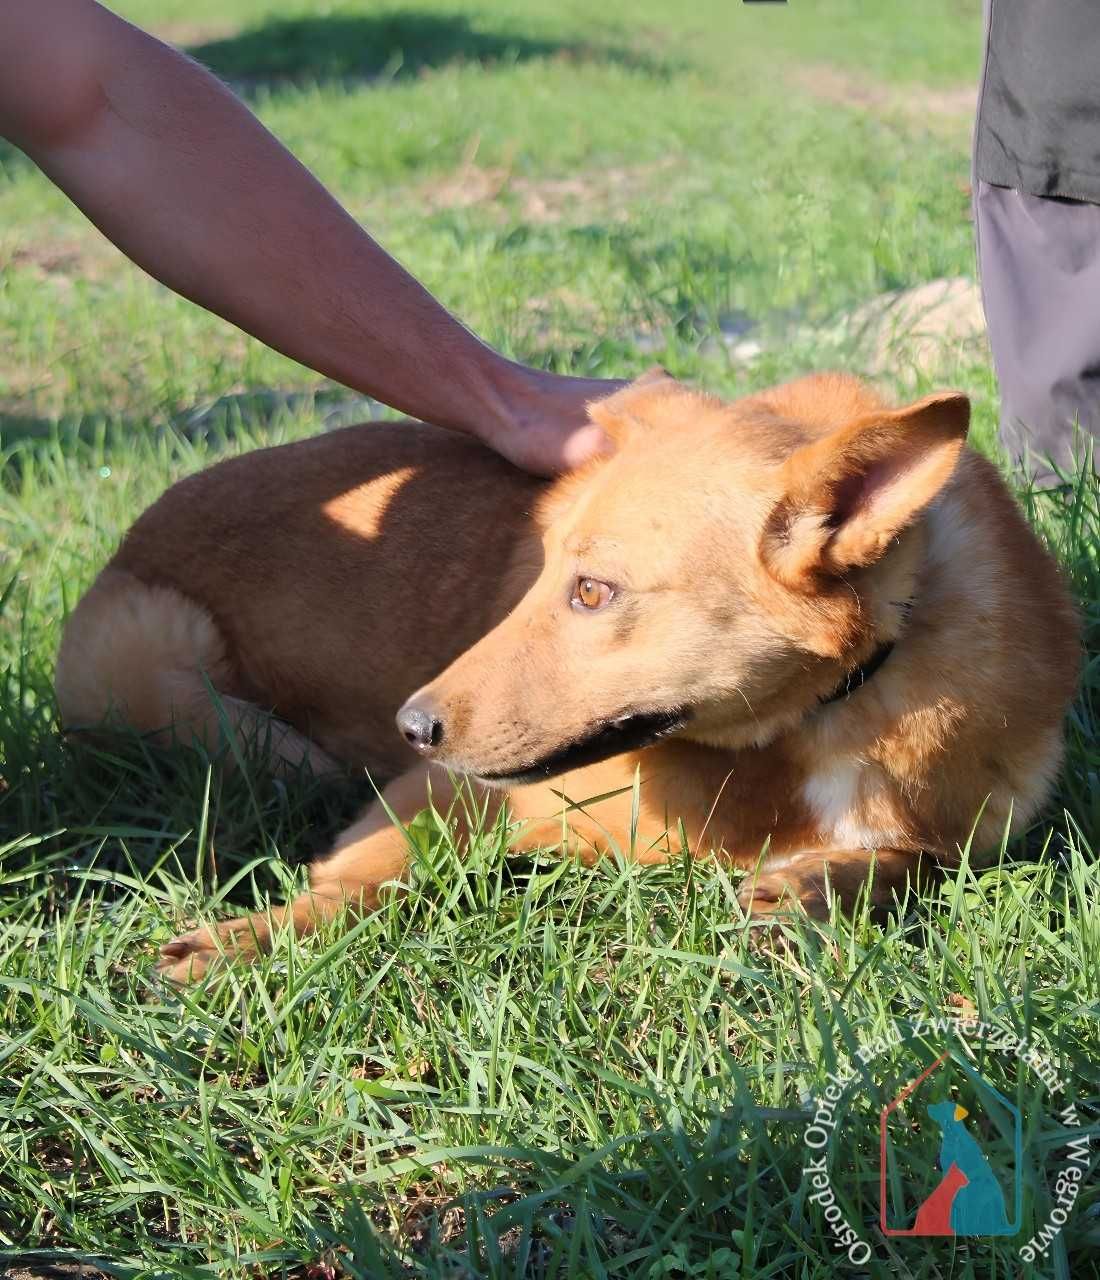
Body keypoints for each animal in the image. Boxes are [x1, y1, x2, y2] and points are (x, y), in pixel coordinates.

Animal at [56, 373, 1080, 977]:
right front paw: (245, 939)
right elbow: (362, 875)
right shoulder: (443, 793)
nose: (411, 728)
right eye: (543, 572)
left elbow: (915, 861)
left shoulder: (974, 834)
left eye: (593, 591)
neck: (812, 725)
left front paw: (811, 887)